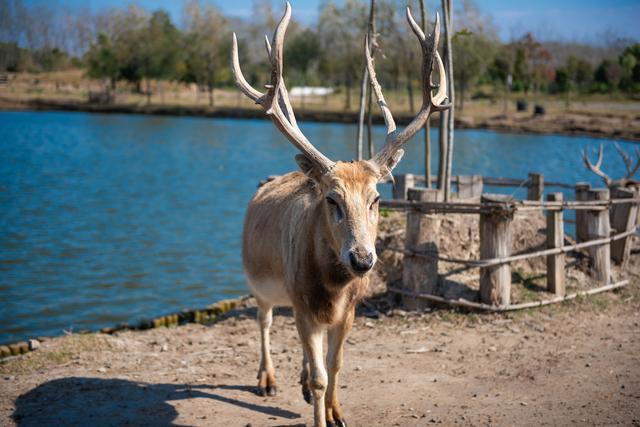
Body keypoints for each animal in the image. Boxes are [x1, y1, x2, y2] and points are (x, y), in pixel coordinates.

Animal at [232, 4, 448, 427]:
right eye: (331, 199)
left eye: (376, 198)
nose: (362, 258)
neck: (331, 290)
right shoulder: (302, 302)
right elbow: (319, 376)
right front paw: (319, 413)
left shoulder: (348, 310)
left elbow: (335, 364)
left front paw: (337, 413)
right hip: (257, 280)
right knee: (265, 321)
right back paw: (267, 380)